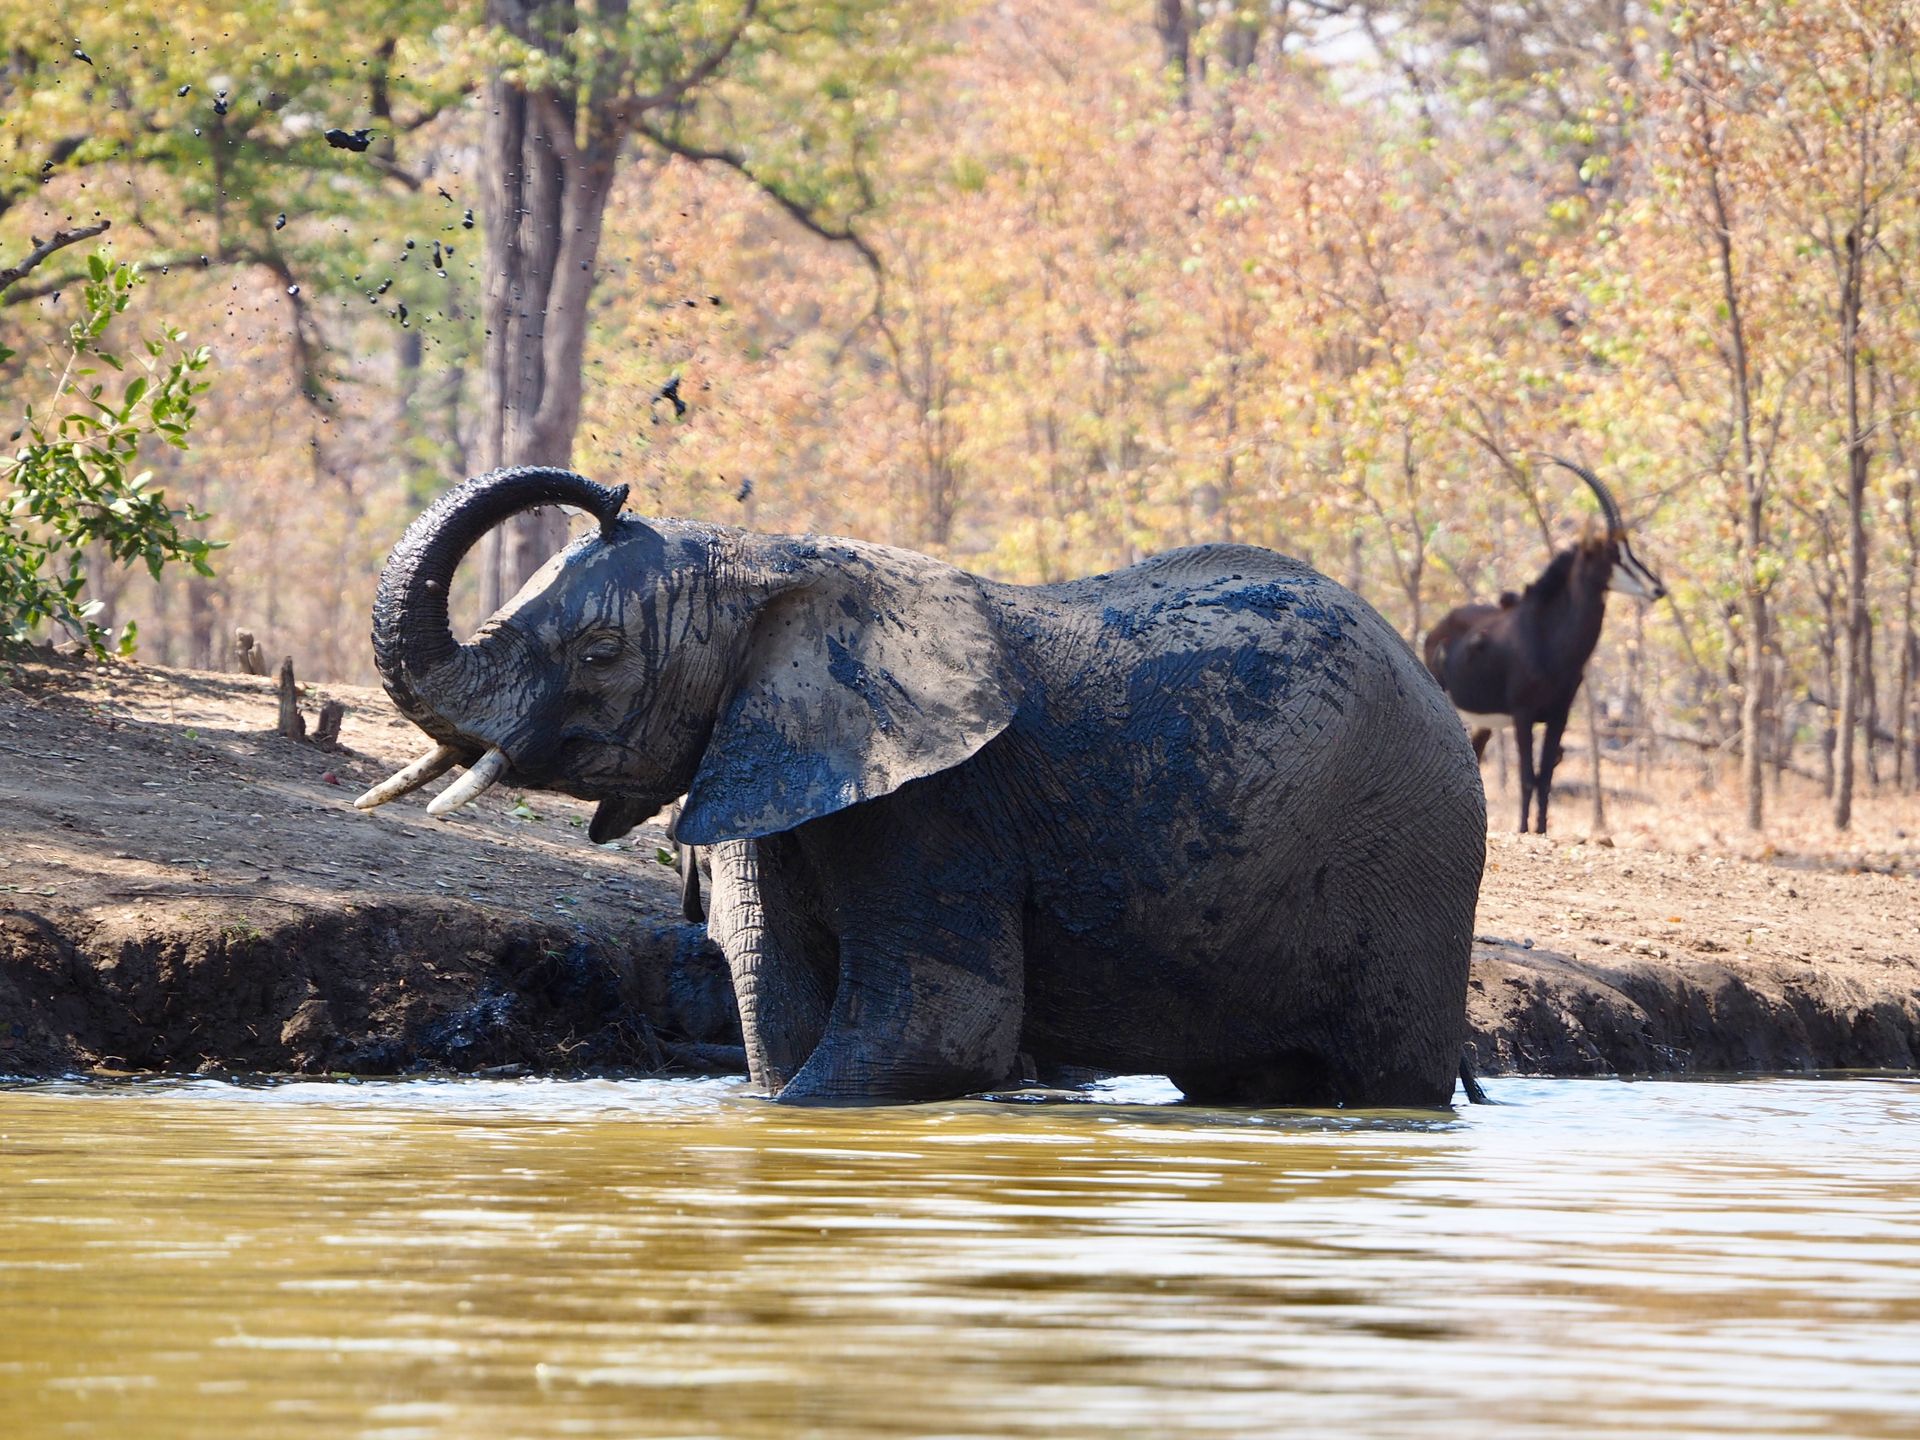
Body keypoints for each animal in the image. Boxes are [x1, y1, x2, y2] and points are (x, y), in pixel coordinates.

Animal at [357, 466, 1488, 1107]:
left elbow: (939, 1029)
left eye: (598, 654)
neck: (775, 565)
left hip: (1412, 857)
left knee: (1386, 1073)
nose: (611, 494)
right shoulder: (774, 759)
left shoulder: (943, 803)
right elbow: (778, 1009)